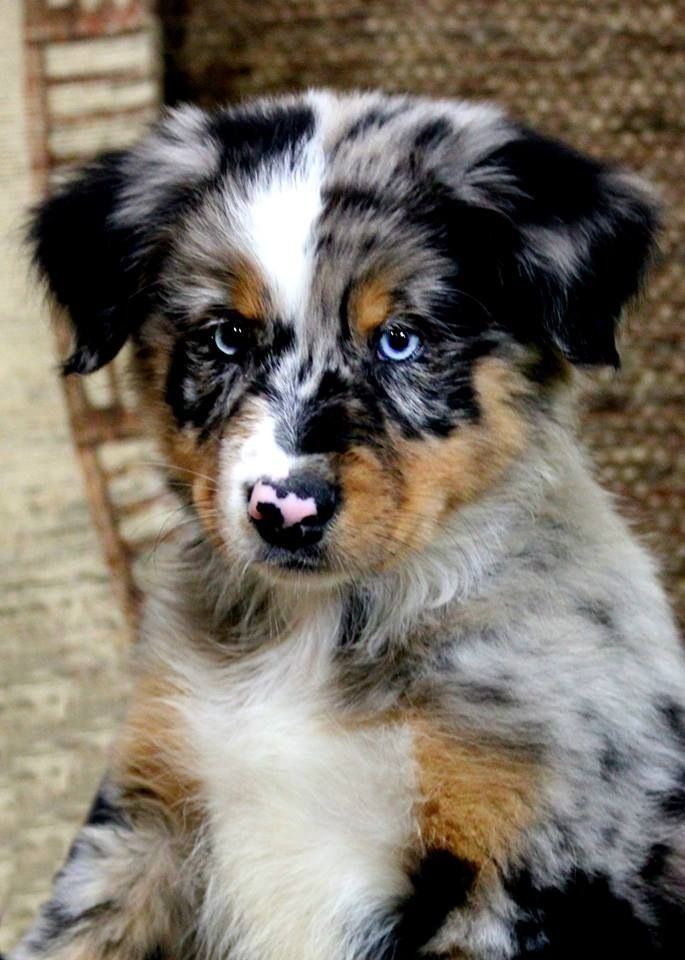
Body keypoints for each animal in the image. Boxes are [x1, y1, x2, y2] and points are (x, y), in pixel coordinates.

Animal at [10, 90, 684, 960]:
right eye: (225, 337)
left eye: (400, 340)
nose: (283, 508)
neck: (314, 635)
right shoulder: (146, 817)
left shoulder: (512, 868)